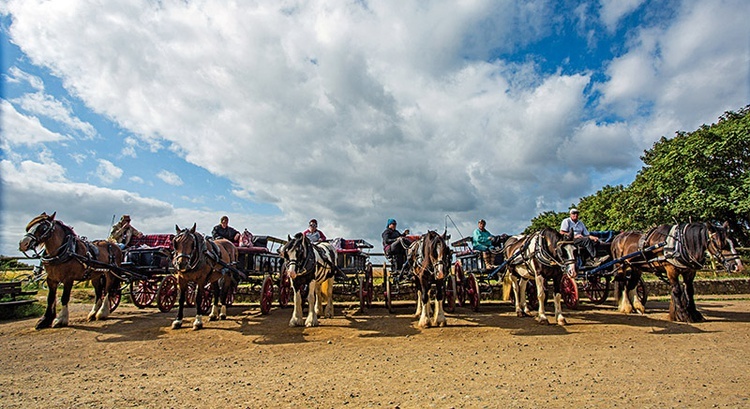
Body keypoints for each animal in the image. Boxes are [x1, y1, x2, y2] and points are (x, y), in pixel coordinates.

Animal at [612, 222, 744, 320]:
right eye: (719, 243)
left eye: (733, 241)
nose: (738, 266)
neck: (680, 244)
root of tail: (618, 237)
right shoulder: (671, 270)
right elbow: (677, 290)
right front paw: (682, 314)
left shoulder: (689, 272)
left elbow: (689, 291)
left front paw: (693, 313)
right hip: (621, 265)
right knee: (623, 284)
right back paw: (626, 306)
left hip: (636, 267)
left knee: (632, 285)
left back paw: (638, 306)